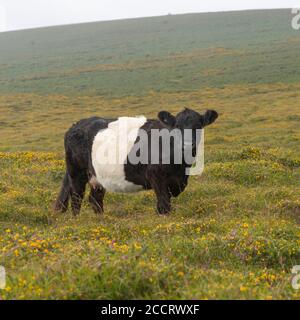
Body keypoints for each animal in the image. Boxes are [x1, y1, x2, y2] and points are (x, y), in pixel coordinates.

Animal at [54, 107, 218, 215]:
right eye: (177, 126)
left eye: (198, 126)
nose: (187, 144)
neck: (181, 167)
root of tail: (76, 125)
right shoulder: (156, 177)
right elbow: (164, 206)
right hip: (77, 172)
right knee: (77, 196)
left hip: (97, 175)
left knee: (95, 199)